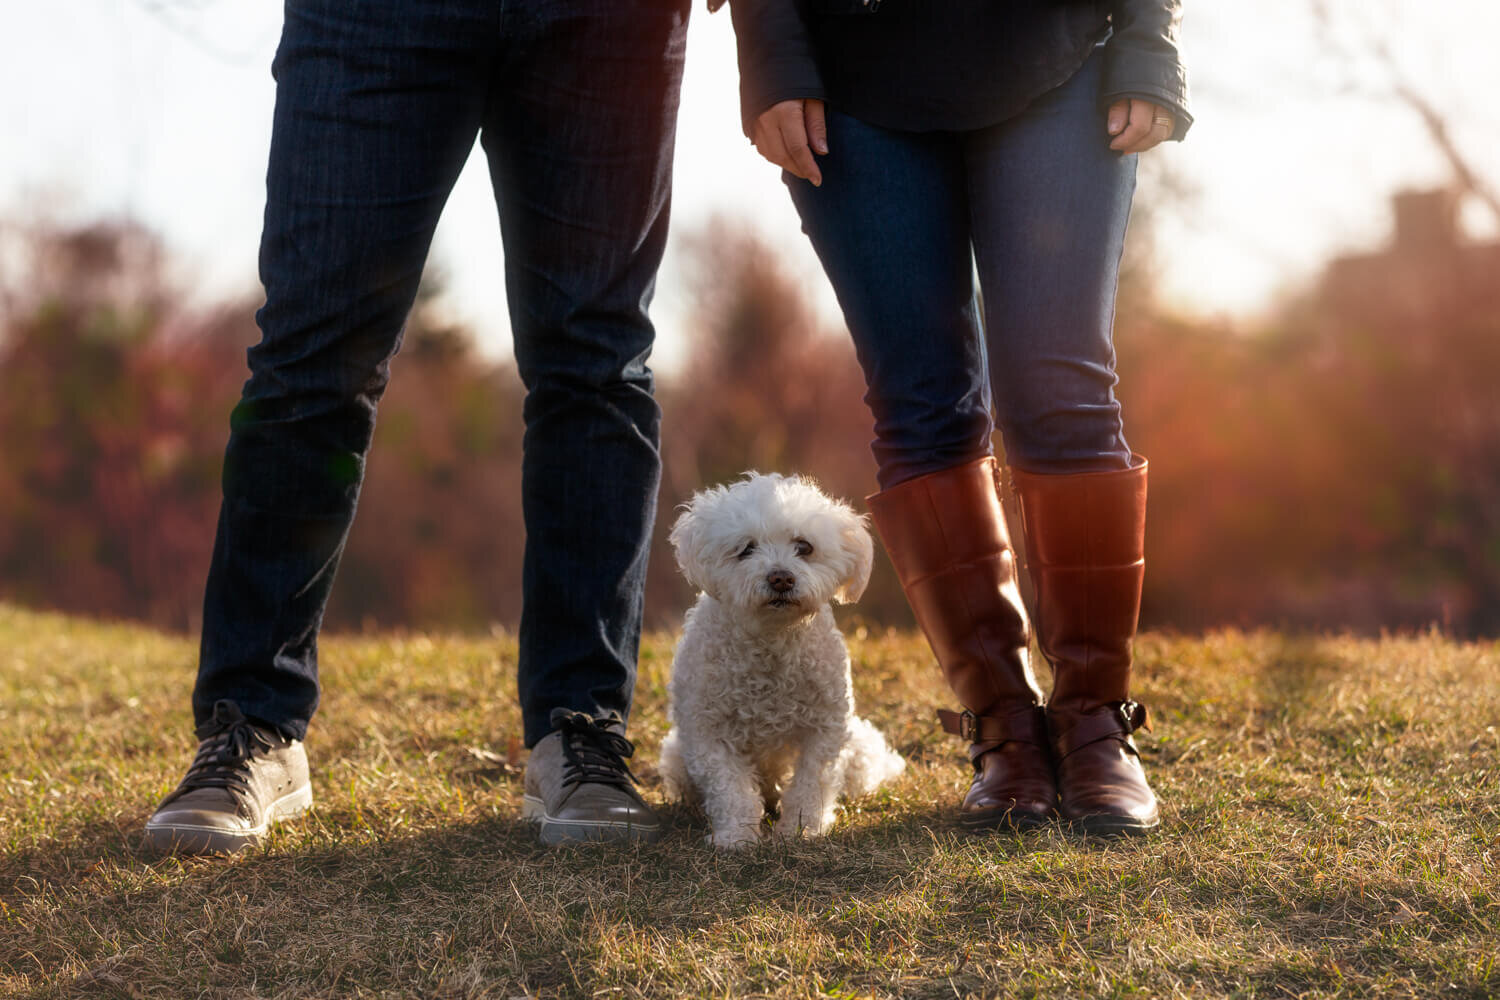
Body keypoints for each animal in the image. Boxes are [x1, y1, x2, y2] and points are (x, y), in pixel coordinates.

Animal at [663, 473, 906, 851]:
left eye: (804, 546)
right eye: (746, 548)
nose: (781, 577)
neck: (771, 639)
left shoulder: (824, 730)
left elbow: (810, 783)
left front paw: (800, 830)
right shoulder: (706, 732)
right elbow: (730, 788)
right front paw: (736, 837)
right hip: (677, 758)